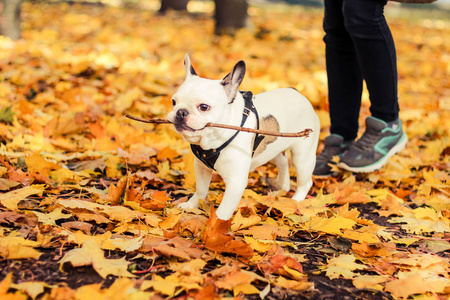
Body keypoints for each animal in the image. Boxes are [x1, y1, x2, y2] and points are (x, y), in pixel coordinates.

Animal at [168, 54, 320, 220]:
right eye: (173, 102)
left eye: (203, 107)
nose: (181, 112)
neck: (212, 141)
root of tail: (298, 93)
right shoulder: (201, 167)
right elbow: (201, 189)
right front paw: (192, 205)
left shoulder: (236, 182)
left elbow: (223, 211)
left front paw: (215, 225)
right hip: (271, 147)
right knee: (282, 161)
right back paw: (282, 186)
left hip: (303, 157)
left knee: (305, 182)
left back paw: (296, 201)